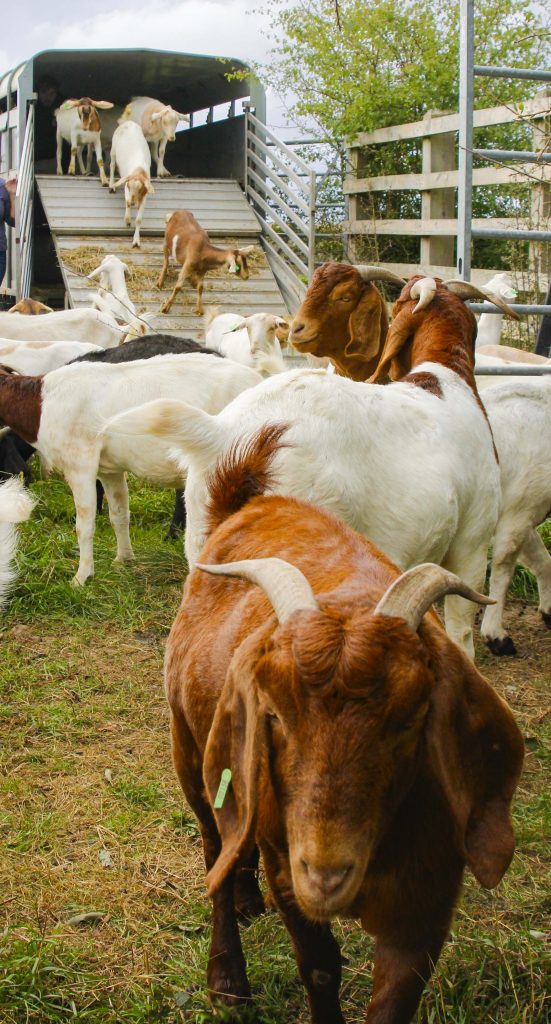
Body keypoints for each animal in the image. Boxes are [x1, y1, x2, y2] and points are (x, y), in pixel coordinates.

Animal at [0, 355, 262, 585]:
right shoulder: (109, 470)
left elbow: (84, 525)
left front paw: (81, 577)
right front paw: (123, 560)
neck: (41, 404)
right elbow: (119, 515)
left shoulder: (80, 464)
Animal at [165, 425, 524, 1022]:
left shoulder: (430, 890)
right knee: (214, 845)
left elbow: (399, 991)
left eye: (411, 718)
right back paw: (227, 978)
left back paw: (246, 898)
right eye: (274, 713)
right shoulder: (286, 860)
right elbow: (319, 965)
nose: (327, 875)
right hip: (190, 750)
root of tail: (250, 500)